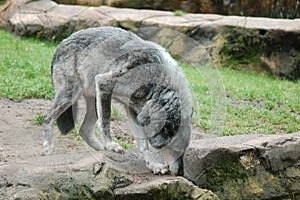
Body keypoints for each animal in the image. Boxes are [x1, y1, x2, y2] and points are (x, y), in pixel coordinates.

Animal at [41, 26, 192, 175]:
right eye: (176, 151)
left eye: (183, 152)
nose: (181, 174)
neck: (158, 84)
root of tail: (61, 43)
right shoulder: (104, 83)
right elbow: (106, 122)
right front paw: (110, 145)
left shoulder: (134, 110)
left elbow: (143, 145)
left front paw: (153, 165)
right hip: (71, 97)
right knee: (47, 118)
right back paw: (48, 147)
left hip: (93, 103)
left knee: (84, 130)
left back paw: (101, 151)